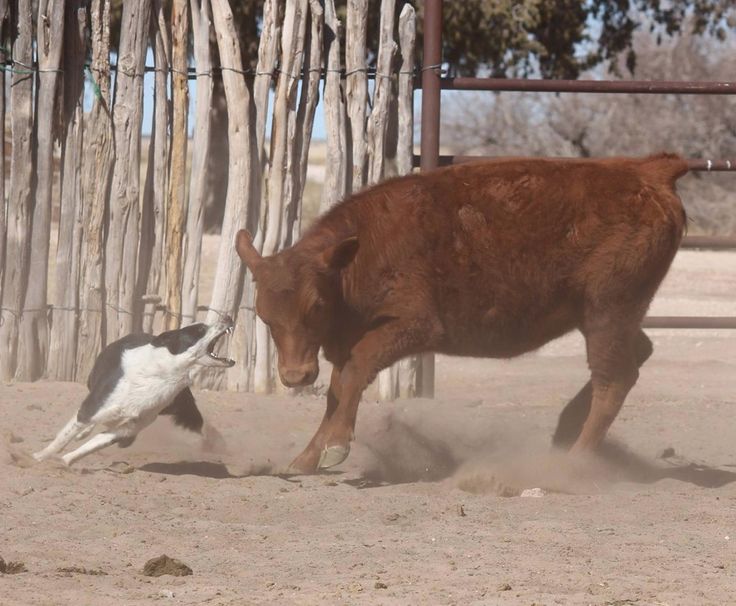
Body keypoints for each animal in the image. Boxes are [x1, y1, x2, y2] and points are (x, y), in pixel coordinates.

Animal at [33, 320, 236, 468]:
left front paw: (65, 461)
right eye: (200, 329)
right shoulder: (90, 409)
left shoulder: (127, 429)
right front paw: (40, 456)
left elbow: (93, 444)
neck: (163, 374)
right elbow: (64, 437)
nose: (228, 318)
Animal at [237, 153, 688, 476]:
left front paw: (335, 448)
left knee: (614, 378)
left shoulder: (412, 326)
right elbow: (337, 388)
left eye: (316, 305)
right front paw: (305, 459)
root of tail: (646, 172)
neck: (358, 256)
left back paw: (572, 461)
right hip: (606, 315)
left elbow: (354, 372)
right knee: (634, 357)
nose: (295, 375)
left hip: (607, 312)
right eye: (263, 315)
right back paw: (564, 431)